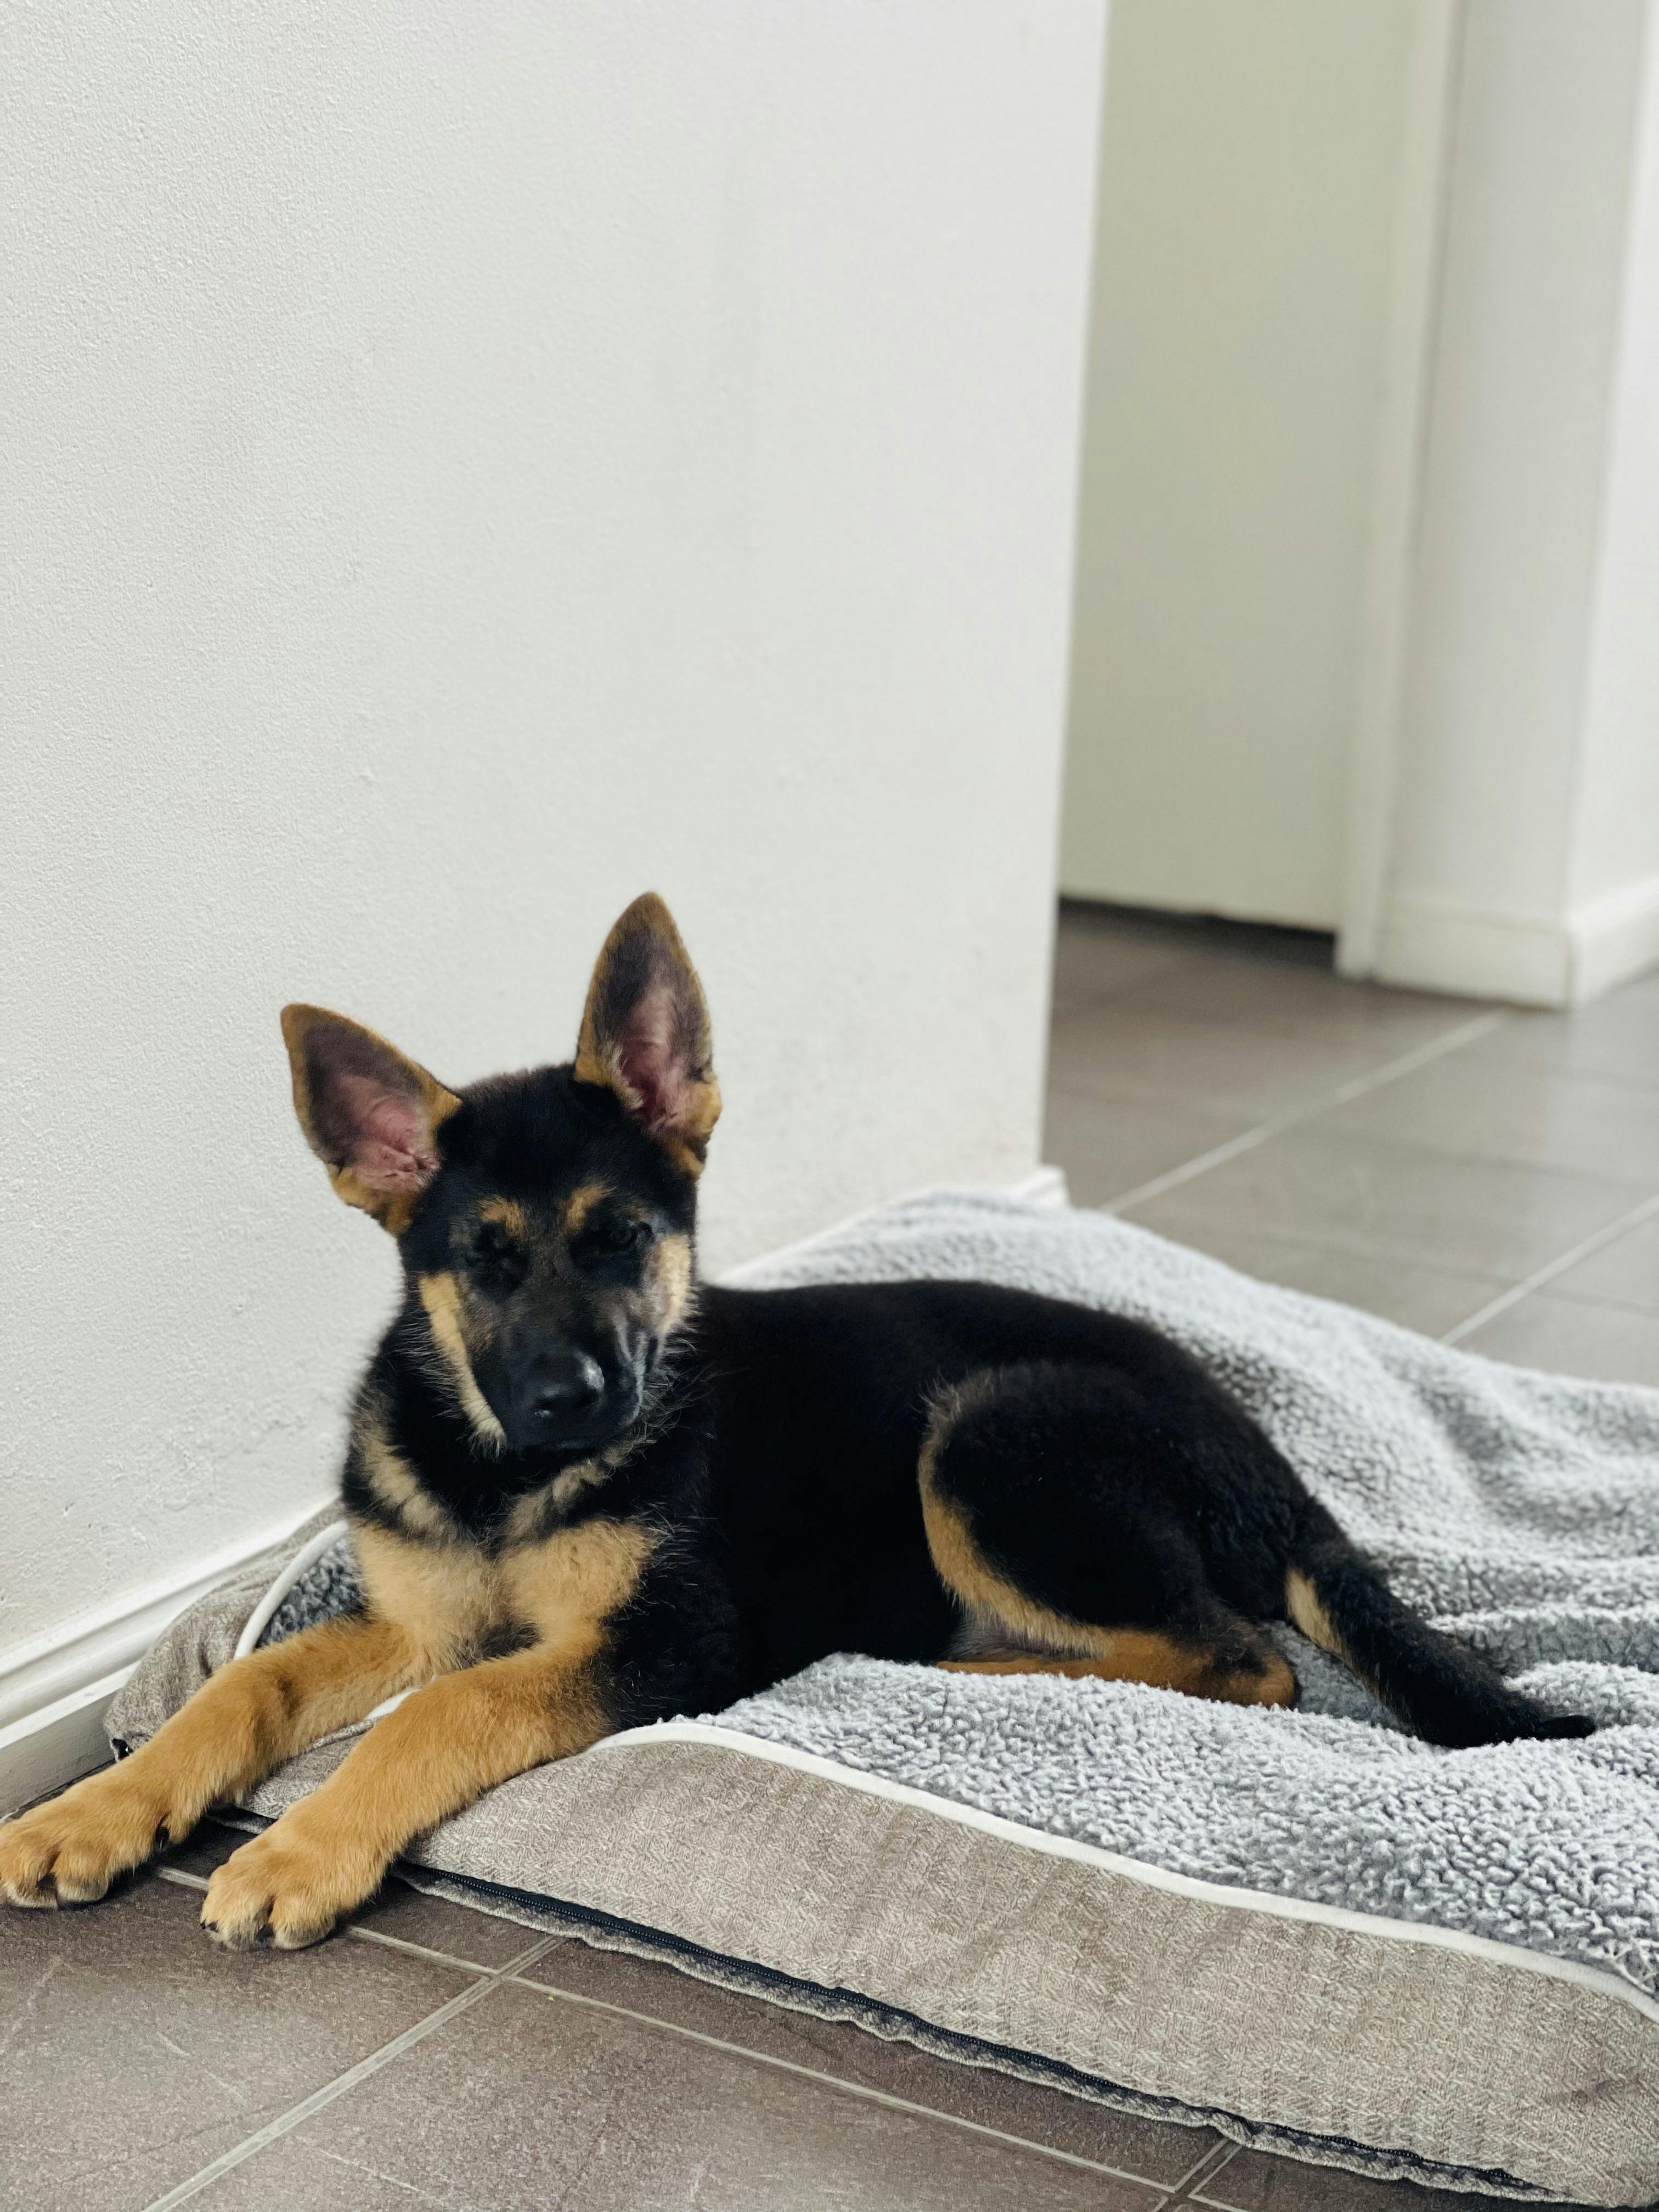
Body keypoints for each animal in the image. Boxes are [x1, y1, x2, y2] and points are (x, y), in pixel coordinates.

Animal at [0, 889, 1601, 1946]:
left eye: (622, 1238)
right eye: (486, 1260)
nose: (577, 1398)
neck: (508, 1477)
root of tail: (1266, 1449)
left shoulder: (668, 1639)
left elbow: (450, 1709)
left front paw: (304, 1851)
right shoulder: (417, 1618)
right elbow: (245, 1688)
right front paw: (97, 1812)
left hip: (990, 1434)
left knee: (1239, 1660)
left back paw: (973, 1664)